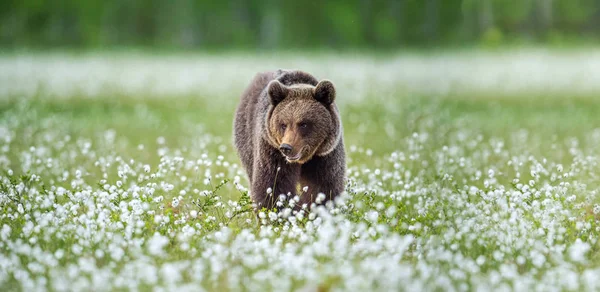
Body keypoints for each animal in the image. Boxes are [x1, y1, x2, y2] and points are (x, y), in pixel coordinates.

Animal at [234, 70, 346, 212]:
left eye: (303, 124)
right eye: (283, 124)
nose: (286, 147)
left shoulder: (325, 155)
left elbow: (323, 185)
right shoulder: (272, 150)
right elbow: (273, 185)